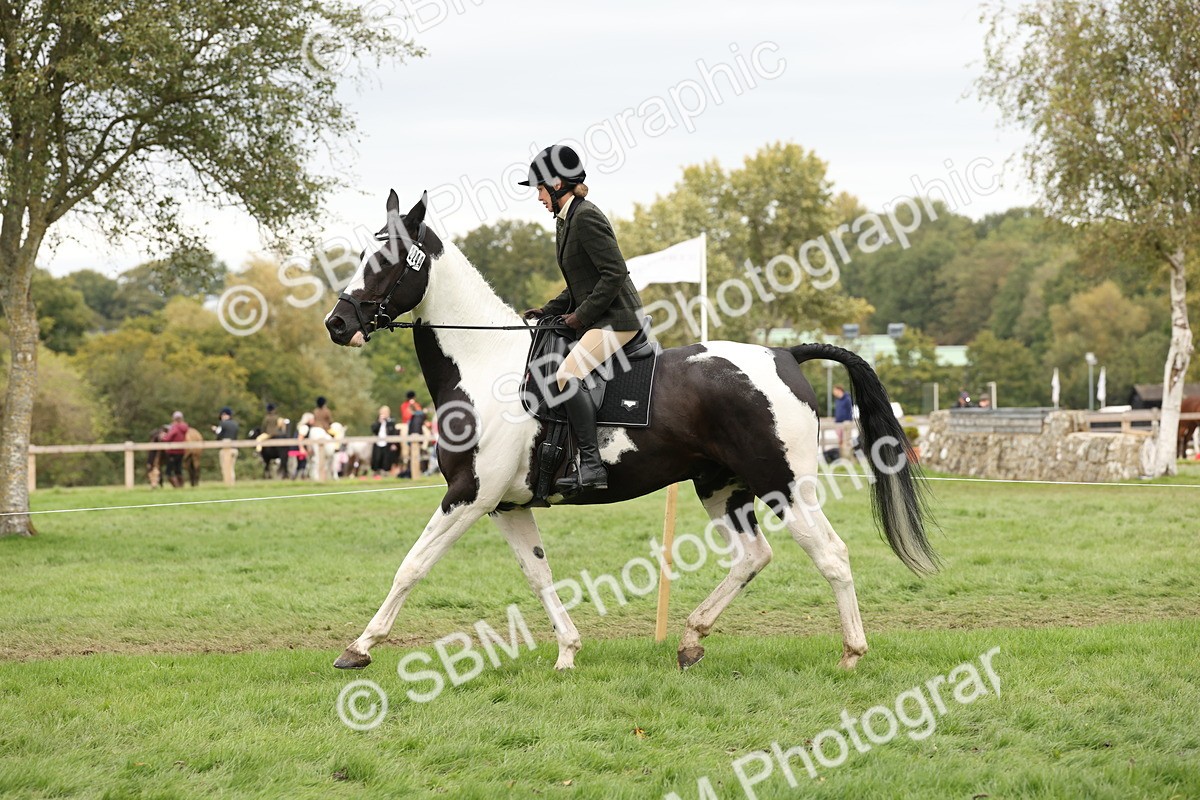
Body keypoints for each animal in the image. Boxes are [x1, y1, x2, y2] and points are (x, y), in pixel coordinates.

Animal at [323, 190, 936, 673]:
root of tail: (784, 354)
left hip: (783, 484)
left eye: (386, 259)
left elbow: (411, 566)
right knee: (751, 556)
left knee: (830, 554)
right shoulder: (505, 505)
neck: (482, 364)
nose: (338, 323)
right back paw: (691, 640)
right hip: (720, 486)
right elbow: (539, 575)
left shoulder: (468, 496)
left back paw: (851, 654)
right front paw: (568, 651)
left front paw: (359, 648)